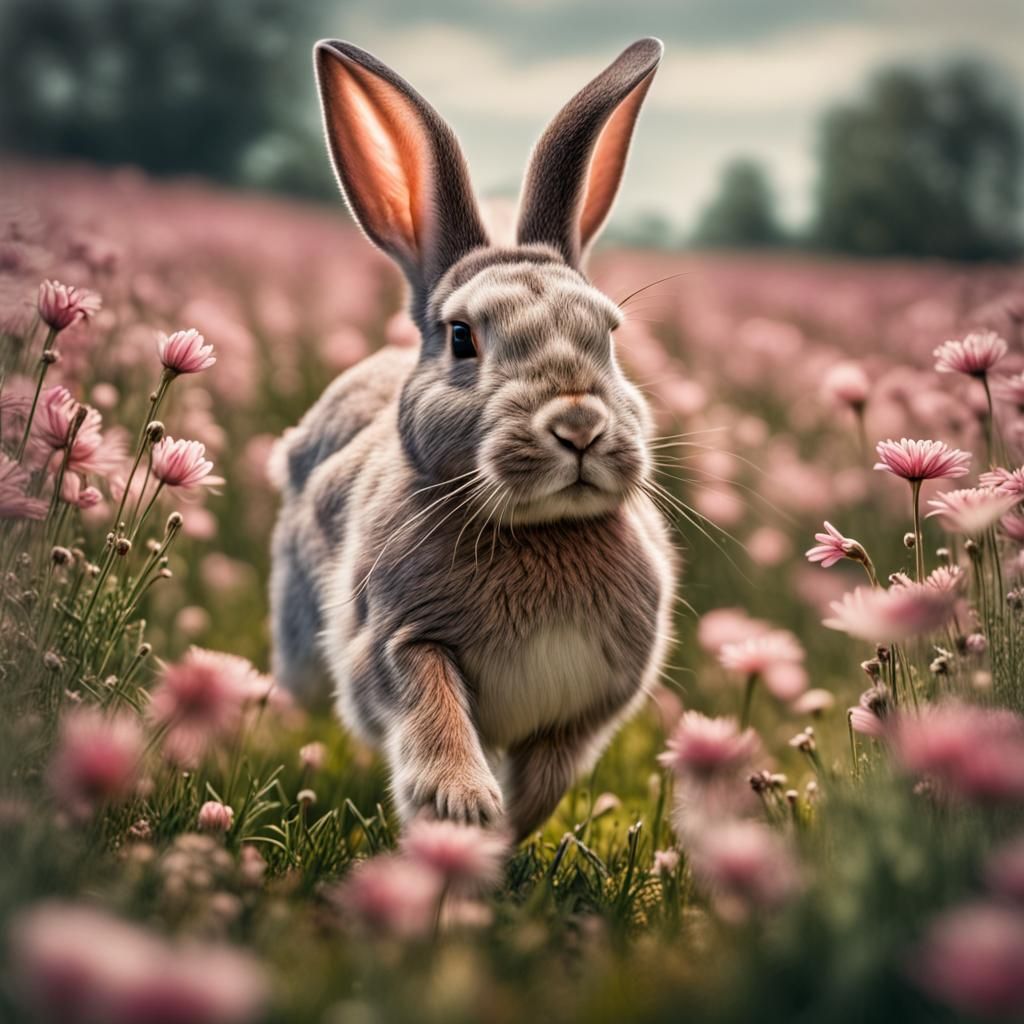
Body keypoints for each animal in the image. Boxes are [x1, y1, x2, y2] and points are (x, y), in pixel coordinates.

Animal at [270, 36, 676, 840]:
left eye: (610, 336)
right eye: (463, 338)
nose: (578, 426)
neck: (542, 531)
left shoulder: (588, 710)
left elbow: (549, 774)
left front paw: (501, 831)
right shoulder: (400, 639)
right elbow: (433, 708)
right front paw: (461, 806)